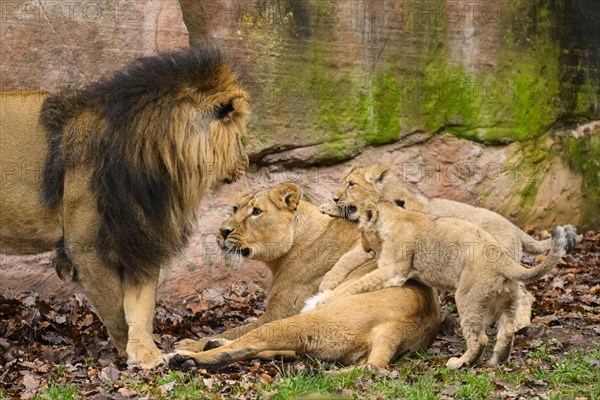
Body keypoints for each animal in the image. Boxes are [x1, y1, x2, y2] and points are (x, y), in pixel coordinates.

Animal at [0, 45, 248, 368]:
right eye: (241, 136)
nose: (247, 163)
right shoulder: (86, 248)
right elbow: (116, 308)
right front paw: (126, 353)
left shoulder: (142, 237)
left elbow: (142, 306)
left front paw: (148, 354)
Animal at [171, 184, 438, 368]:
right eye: (235, 208)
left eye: (256, 211)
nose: (223, 231)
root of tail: (397, 331)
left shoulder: (278, 312)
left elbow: (236, 330)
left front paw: (190, 343)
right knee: (282, 350)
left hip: (307, 318)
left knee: (252, 341)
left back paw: (186, 357)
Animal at [316, 202, 568, 370]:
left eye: (361, 231)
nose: (366, 248)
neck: (397, 216)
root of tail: (503, 259)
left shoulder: (393, 270)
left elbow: (358, 284)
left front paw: (325, 299)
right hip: (506, 300)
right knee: (506, 332)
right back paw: (496, 361)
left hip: (467, 297)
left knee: (479, 339)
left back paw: (459, 363)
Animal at [322, 164, 580, 330]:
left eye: (351, 184)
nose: (334, 197)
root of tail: (513, 227)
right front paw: (329, 208)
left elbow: (349, 258)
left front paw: (327, 284)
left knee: (525, 294)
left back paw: (518, 323)